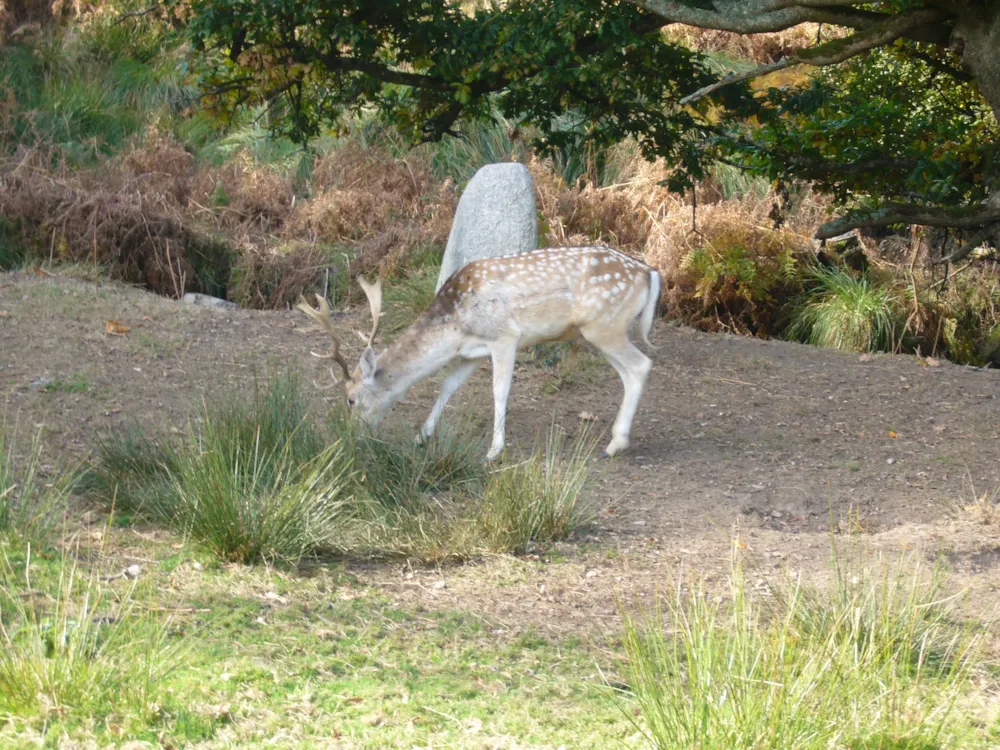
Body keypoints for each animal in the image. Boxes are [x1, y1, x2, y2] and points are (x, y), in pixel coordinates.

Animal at [296, 247, 660, 462]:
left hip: (605, 325)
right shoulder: (471, 352)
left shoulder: (505, 337)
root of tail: (650, 273)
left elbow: (499, 391)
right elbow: (447, 386)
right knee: (628, 373)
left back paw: (615, 444)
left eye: (351, 399)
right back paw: (617, 438)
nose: (350, 436)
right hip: (597, 332)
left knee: (642, 365)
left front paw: (494, 451)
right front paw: (421, 436)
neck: (457, 322)